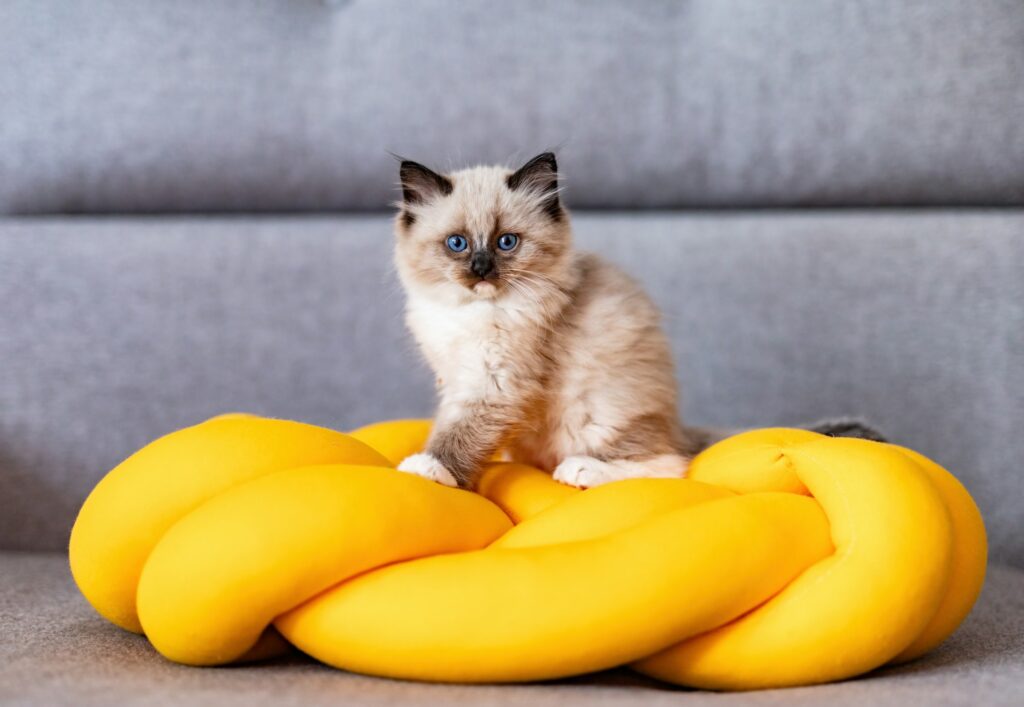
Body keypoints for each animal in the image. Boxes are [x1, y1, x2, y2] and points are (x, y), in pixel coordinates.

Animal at [391, 151, 880, 487]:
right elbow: (450, 426)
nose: (480, 270)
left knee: (670, 464)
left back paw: (580, 470)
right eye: (457, 244)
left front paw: (427, 468)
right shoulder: (456, 381)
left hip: (596, 415)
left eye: (506, 242)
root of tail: (676, 424)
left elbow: (460, 434)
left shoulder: (495, 385)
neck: (471, 311)